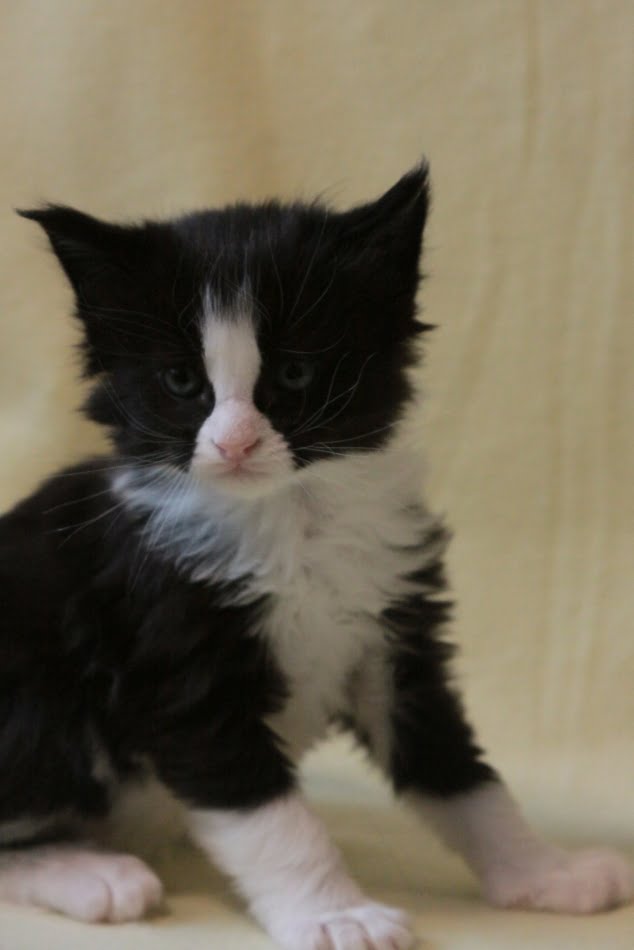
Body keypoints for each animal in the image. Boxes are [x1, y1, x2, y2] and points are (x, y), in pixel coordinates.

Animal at [0, 163, 631, 950]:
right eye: (182, 383)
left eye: (296, 375)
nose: (235, 444)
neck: (292, 521)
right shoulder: (180, 660)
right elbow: (273, 818)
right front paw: (334, 913)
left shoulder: (394, 632)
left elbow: (459, 770)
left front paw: (544, 872)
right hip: (39, 704)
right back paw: (93, 874)